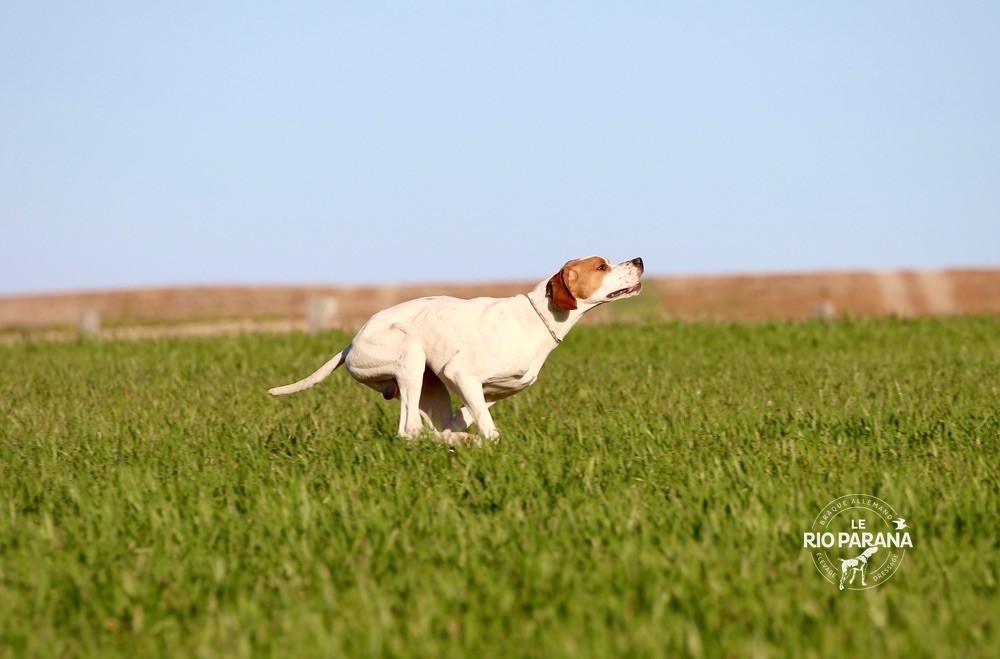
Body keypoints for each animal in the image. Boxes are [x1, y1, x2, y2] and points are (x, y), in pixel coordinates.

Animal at [270, 258, 644, 444]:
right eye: (601, 267)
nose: (639, 259)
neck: (539, 316)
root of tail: (352, 342)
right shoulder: (461, 373)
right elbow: (490, 430)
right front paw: (487, 442)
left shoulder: (487, 392)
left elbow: (465, 418)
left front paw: (463, 436)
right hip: (410, 356)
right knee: (409, 430)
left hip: (428, 387)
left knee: (423, 430)